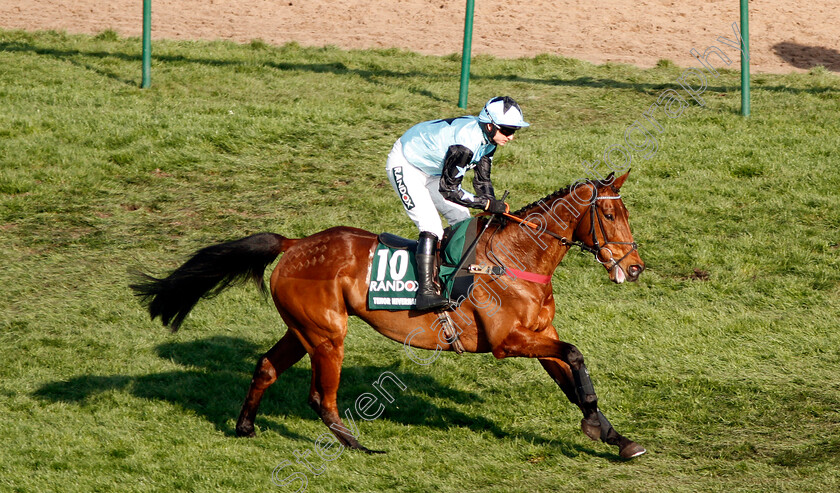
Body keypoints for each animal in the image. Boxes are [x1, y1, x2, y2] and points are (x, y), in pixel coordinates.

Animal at [130, 171, 648, 460]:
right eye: (611, 217)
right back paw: (357, 446)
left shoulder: (540, 335)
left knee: (266, 367)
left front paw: (614, 436)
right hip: (328, 335)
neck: (514, 256)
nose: (635, 267)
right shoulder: (509, 343)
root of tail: (295, 243)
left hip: (304, 329)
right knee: (321, 397)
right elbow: (576, 356)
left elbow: (573, 377)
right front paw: (599, 429)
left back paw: (245, 426)